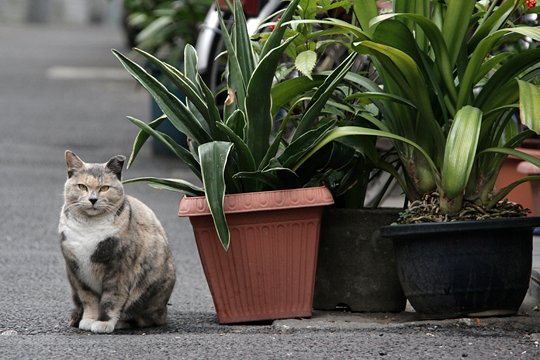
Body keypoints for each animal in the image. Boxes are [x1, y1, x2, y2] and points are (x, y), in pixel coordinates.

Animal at [59, 150, 177, 334]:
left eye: (105, 188)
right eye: (82, 186)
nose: (93, 199)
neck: (89, 227)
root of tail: (164, 310)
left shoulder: (119, 269)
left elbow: (111, 300)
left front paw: (103, 323)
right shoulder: (76, 271)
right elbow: (88, 299)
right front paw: (88, 319)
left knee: (143, 317)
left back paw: (120, 322)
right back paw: (75, 318)